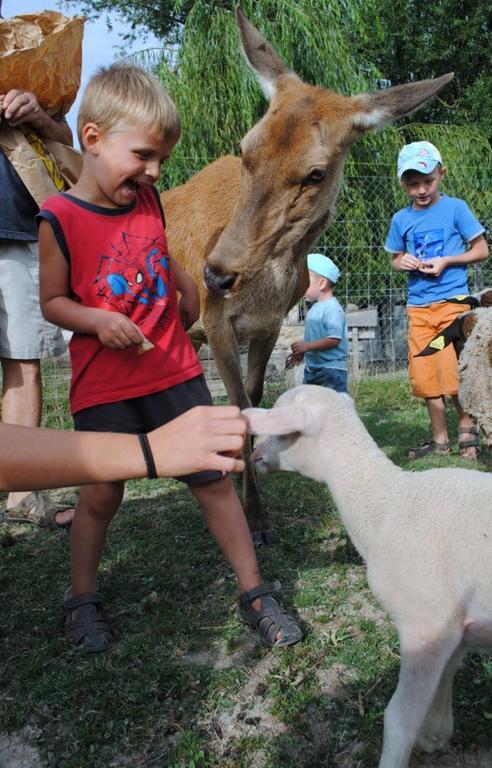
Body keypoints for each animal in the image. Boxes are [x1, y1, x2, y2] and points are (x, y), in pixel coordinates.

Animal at [163, 7, 456, 544]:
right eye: (244, 147)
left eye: (315, 173)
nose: (216, 274)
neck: (270, 289)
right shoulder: (217, 323)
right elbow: (237, 402)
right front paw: (255, 519)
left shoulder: (268, 325)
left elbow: (254, 397)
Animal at [243, 388, 492, 768]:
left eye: (284, 431)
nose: (255, 455)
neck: (385, 502)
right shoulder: (454, 630)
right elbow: (446, 677)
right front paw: (436, 733)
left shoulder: (426, 624)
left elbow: (400, 718)